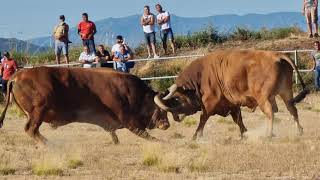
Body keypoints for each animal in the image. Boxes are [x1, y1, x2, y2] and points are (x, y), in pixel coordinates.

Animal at [0, 67, 170, 145]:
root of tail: (16, 77)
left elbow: (114, 134)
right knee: (31, 129)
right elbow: (147, 135)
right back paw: (49, 144)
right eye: (161, 110)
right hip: (37, 113)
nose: (166, 125)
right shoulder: (131, 122)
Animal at [154, 48, 308, 139]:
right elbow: (238, 120)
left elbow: (203, 119)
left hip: (263, 98)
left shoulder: (209, 104)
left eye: (177, 99)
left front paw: (196, 136)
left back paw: (268, 134)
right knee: (292, 110)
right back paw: (299, 131)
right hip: (286, 93)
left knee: (270, 112)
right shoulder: (232, 104)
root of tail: (277, 55)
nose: (176, 117)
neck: (201, 77)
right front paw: (244, 134)